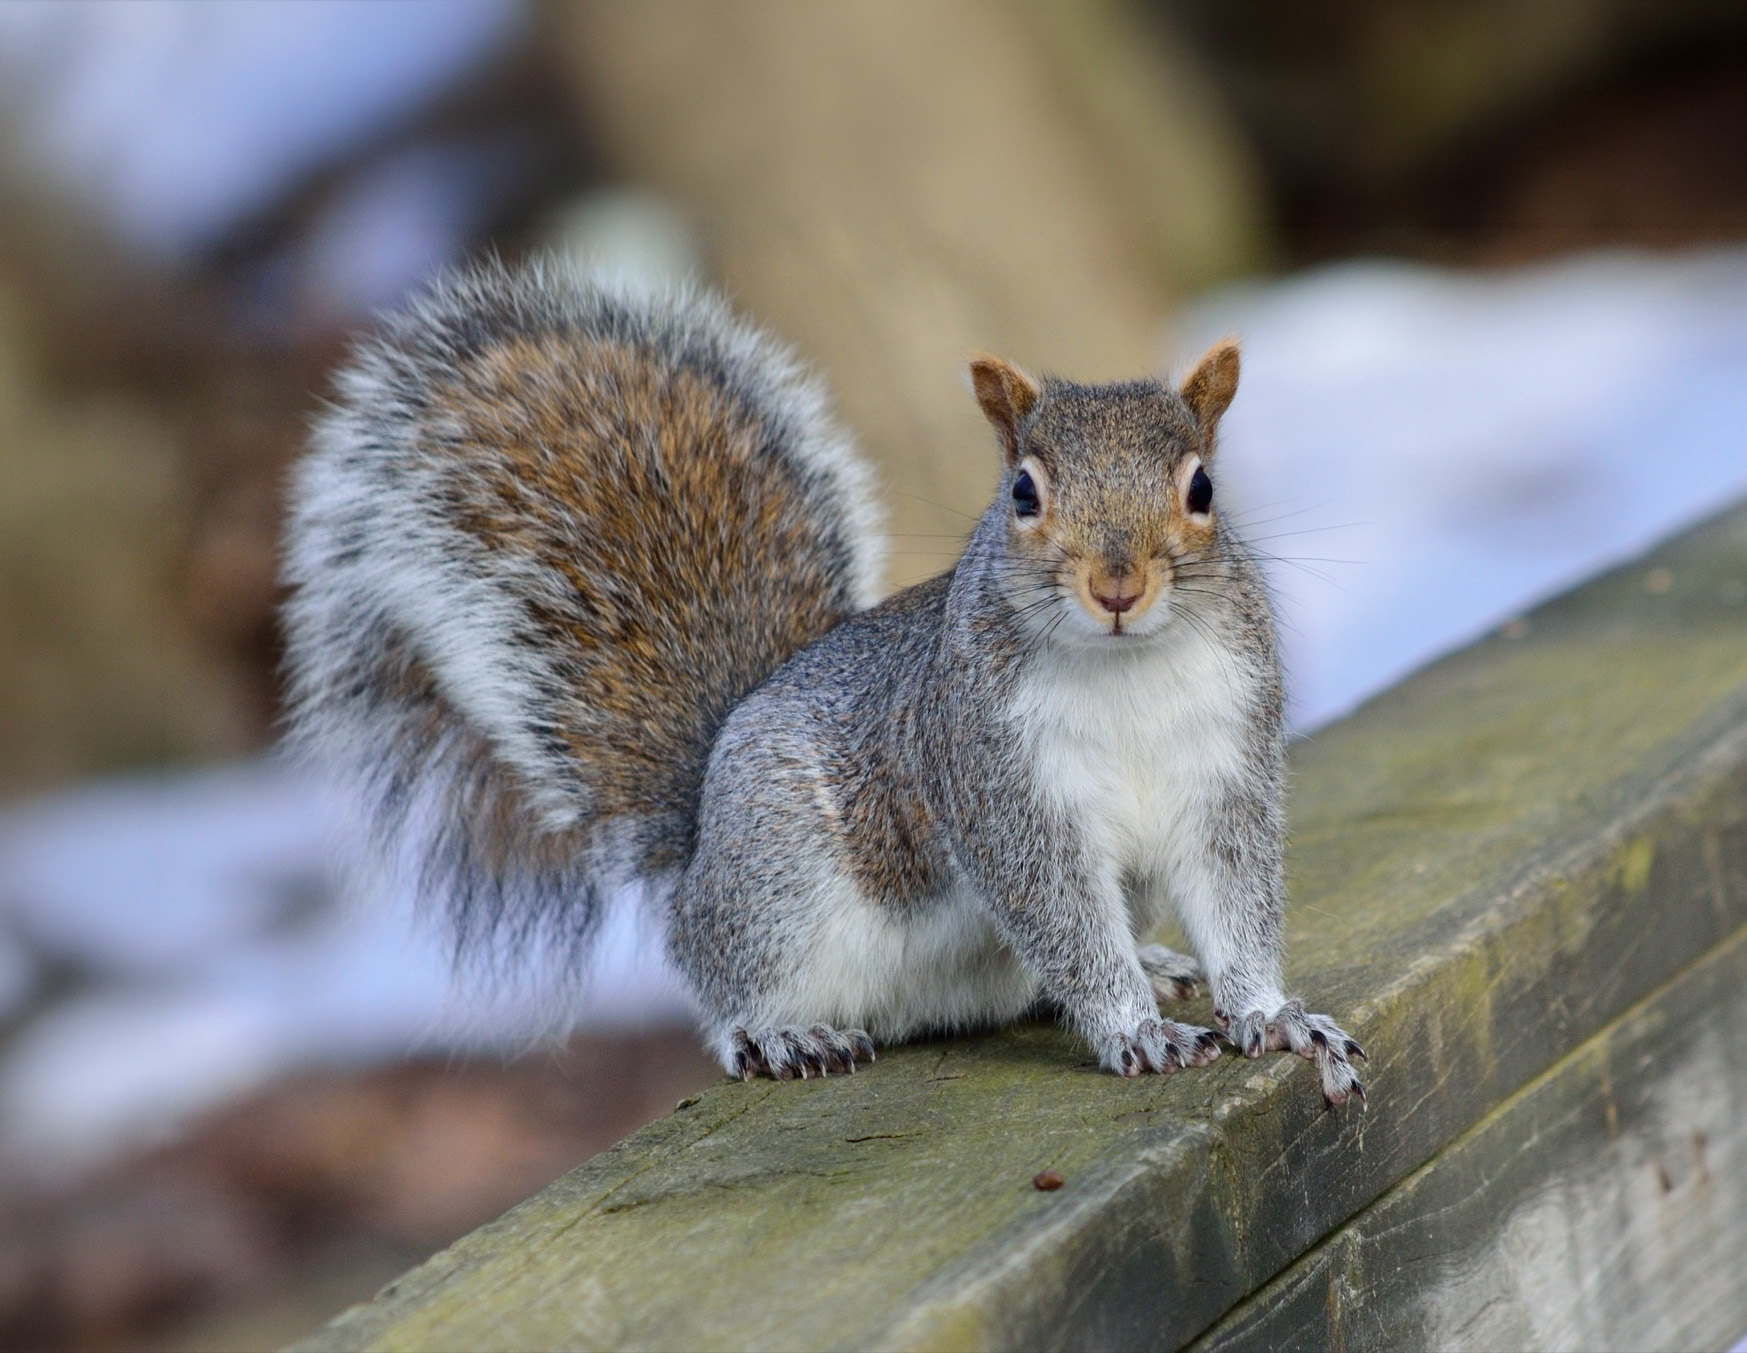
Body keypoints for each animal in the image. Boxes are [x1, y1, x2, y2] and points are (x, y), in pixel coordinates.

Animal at [283, 258, 1364, 1105]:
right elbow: (1060, 916)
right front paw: (1133, 1029)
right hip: (777, 882)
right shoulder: (995, 782)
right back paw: (780, 1032)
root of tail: (699, 837)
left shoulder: (1224, 767)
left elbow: (1235, 899)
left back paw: (1153, 959)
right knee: (720, 984)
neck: (1124, 665)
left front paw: (1270, 1013)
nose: (1117, 585)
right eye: (1022, 492)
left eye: (1202, 489)